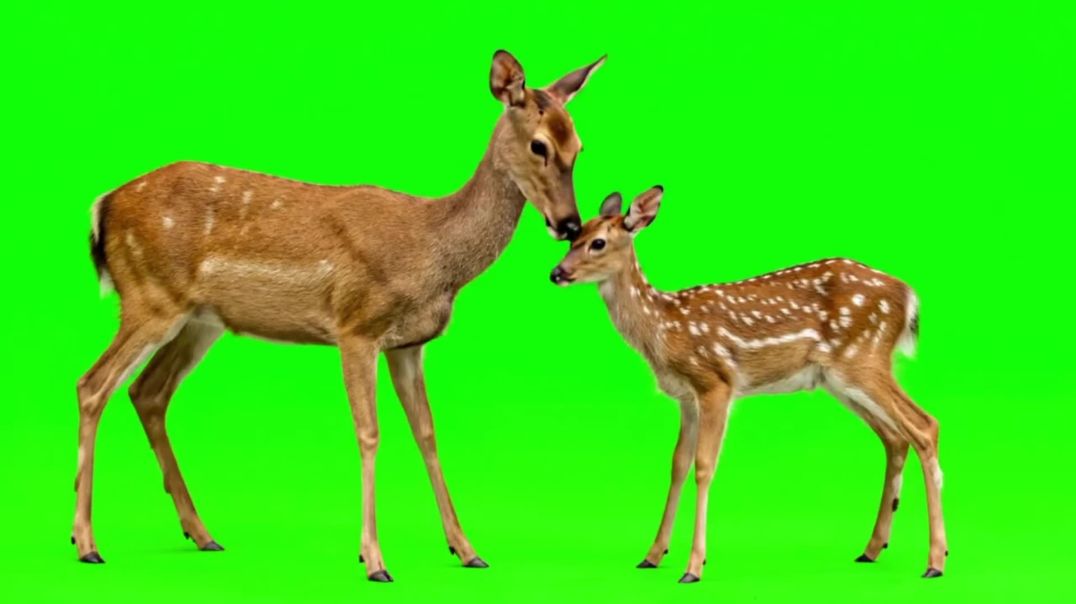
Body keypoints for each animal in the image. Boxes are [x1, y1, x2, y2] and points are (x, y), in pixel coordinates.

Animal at [75, 50, 605, 582]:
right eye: (539, 145)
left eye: (579, 146)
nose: (569, 224)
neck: (434, 253)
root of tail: (103, 206)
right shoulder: (356, 326)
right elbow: (369, 433)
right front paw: (374, 561)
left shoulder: (409, 344)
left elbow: (427, 434)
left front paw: (467, 549)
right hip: (149, 298)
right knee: (93, 385)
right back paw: (88, 544)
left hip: (201, 321)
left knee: (147, 392)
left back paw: (202, 534)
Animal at [550, 187, 948, 583]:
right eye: (574, 237)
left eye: (598, 242)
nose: (557, 273)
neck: (663, 330)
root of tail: (908, 296)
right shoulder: (686, 397)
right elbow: (678, 464)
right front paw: (653, 555)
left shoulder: (715, 382)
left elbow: (704, 466)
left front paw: (694, 567)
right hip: (841, 379)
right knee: (895, 438)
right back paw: (872, 549)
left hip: (862, 359)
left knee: (924, 425)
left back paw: (935, 561)